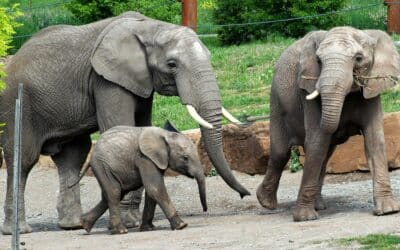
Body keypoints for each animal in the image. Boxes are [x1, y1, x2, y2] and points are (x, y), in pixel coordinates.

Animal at [72, 126, 208, 233]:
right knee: (114, 192)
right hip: (102, 166)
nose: (205, 210)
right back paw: (120, 231)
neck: (165, 134)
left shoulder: (155, 160)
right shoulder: (145, 158)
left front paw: (148, 229)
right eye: (185, 158)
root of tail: (90, 156)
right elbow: (155, 188)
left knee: (112, 194)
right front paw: (181, 225)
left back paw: (85, 224)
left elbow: (151, 192)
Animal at [256, 26, 400, 221]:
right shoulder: (307, 91)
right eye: (318, 60)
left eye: (358, 58)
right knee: (281, 152)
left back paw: (318, 205)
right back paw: (265, 202)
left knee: (324, 154)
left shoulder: (372, 87)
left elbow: (375, 141)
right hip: (276, 101)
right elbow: (317, 142)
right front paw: (304, 218)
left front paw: (388, 211)